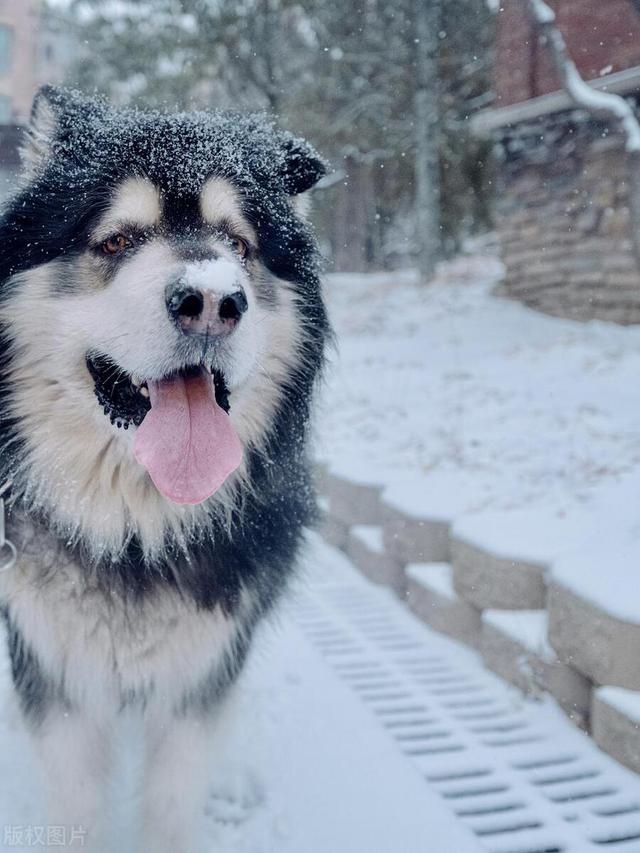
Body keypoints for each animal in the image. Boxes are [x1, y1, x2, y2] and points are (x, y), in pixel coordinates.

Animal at [0, 88, 330, 852]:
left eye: (238, 244)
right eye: (117, 240)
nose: (212, 301)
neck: (134, 532)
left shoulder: (198, 674)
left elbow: (175, 800)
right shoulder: (55, 673)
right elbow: (75, 806)